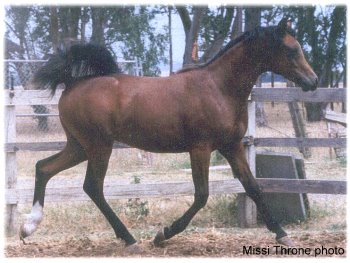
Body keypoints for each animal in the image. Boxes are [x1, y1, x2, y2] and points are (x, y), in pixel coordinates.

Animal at [20, 17, 318, 253]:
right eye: (291, 50)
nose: (313, 82)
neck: (219, 87)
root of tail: (72, 83)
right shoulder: (200, 149)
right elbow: (201, 195)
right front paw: (162, 235)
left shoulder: (231, 146)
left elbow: (253, 187)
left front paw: (283, 235)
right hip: (98, 147)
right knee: (92, 187)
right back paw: (130, 239)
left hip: (79, 147)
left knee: (44, 168)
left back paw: (28, 227)